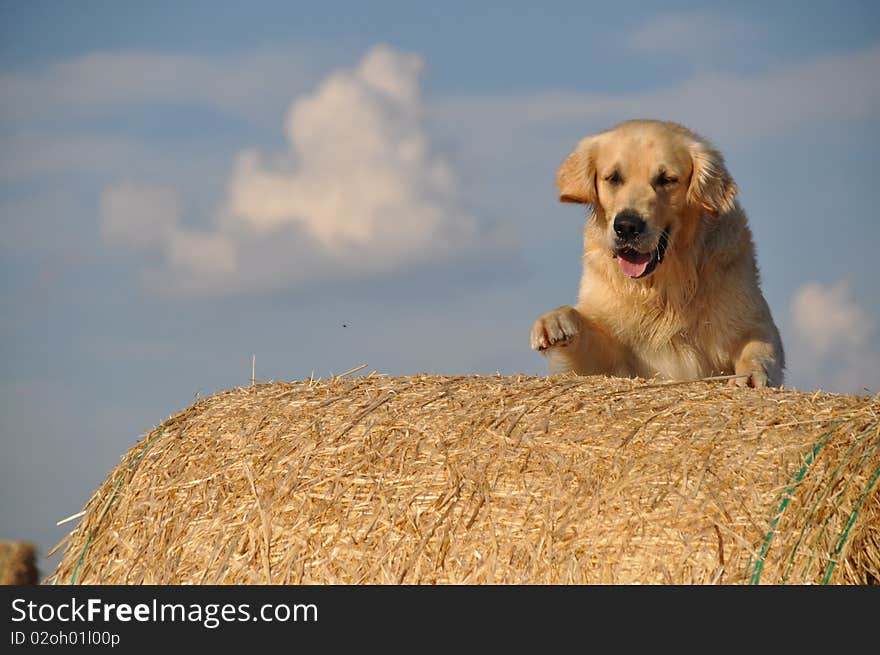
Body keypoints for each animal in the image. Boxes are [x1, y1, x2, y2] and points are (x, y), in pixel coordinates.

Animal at [528, 120, 784, 386]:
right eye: (613, 178)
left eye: (667, 179)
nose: (627, 226)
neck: (663, 286)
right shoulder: (612, 355)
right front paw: (555, 321)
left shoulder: (753, 323)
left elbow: (757, 348)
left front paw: (749, 374)